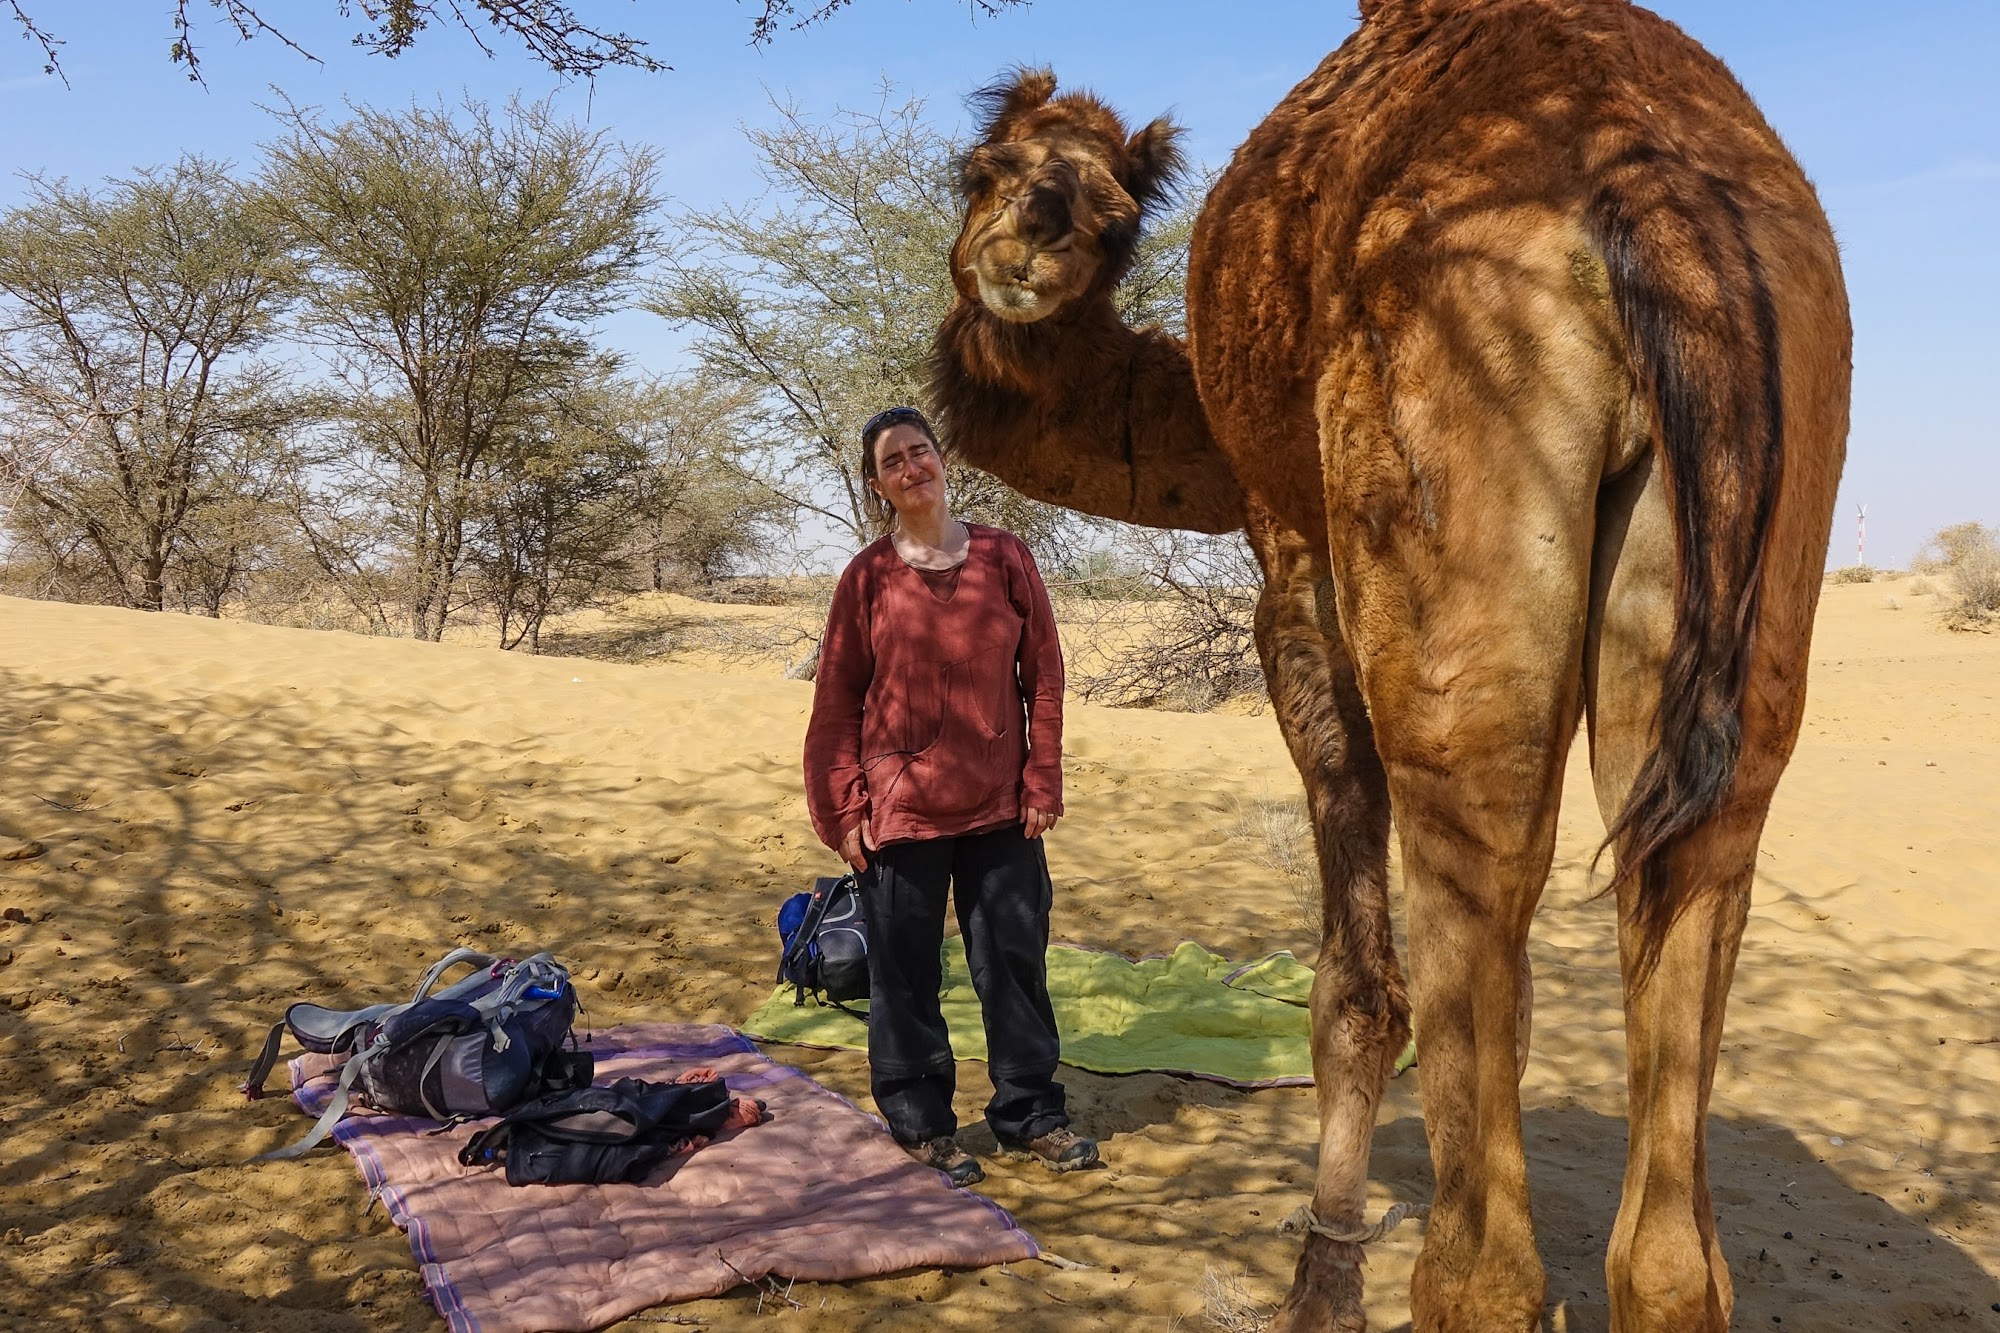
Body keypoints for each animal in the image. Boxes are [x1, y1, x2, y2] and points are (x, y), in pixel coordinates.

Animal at [928, 5, 1848, 1320]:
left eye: (1111, 218)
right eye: (988, 170)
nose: (1031, 246)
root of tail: (1652, 179)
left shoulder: (1290, 552)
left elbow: (1355, 990)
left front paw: (1320, 1286)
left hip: (1449, 420)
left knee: (1476, 813)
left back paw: (1463, 1283)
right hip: (1769, 483)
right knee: (1691, 843)